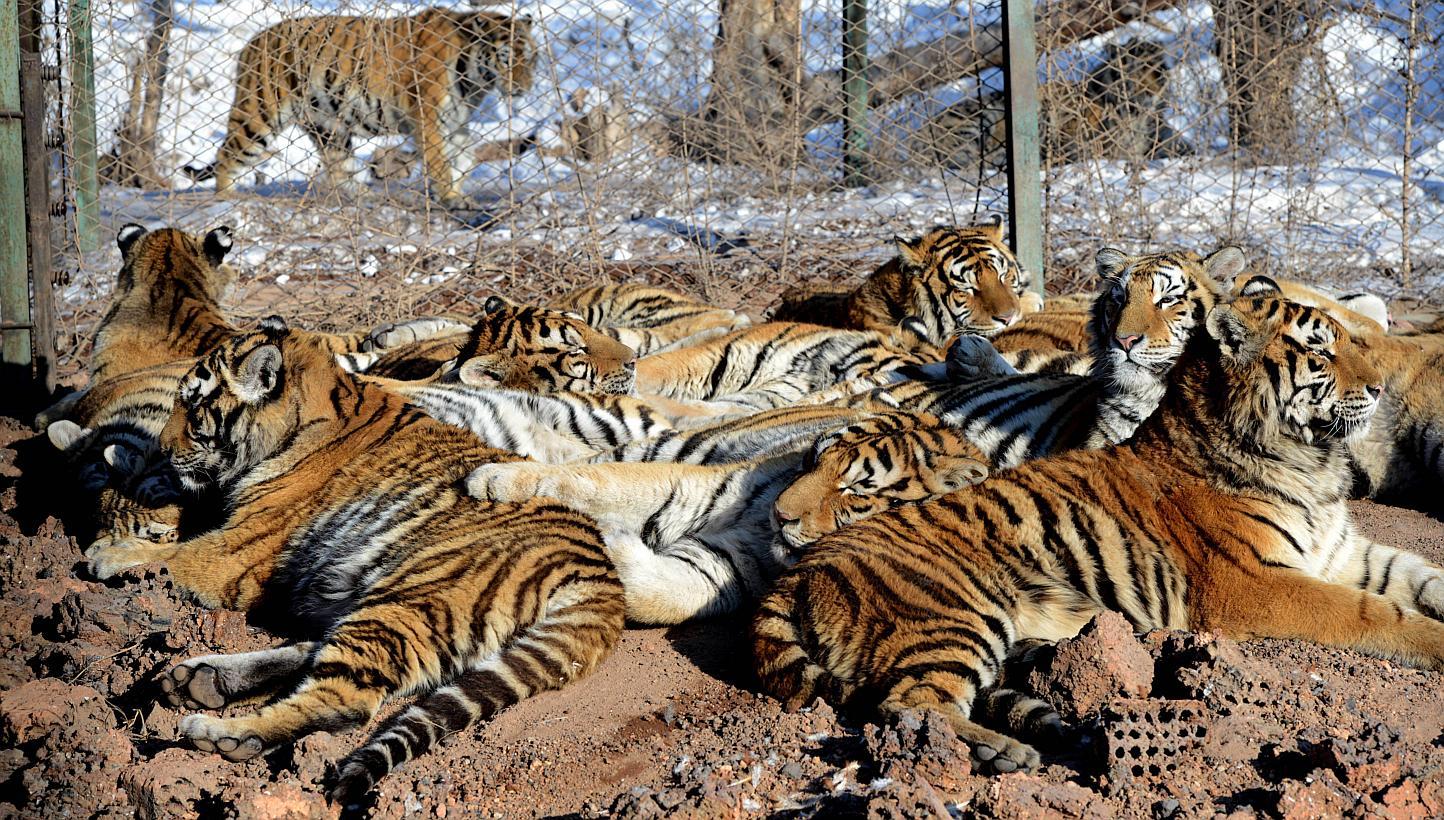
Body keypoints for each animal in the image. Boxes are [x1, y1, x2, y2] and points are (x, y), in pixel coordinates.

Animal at [82, 318, 626, 801]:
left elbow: (171, 555)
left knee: (346, 701)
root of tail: (601, 574)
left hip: (411, 597)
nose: (164, 449)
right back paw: (200, 678)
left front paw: (104, 556)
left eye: (194, 408)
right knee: (318, 654)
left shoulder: (230, 554)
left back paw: (217, 730)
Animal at [182, 9, 533, 207]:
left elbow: (465, 155)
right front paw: (449, 197)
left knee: (338, 169)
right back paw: (227, 200)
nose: (524, 88)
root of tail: (251, 44)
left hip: (327, 125)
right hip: (260, 117)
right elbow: (439, 161)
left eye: (530, 58)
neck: (475, 77)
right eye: (506, 60)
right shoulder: (427, 117)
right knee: (226, 155)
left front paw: (459, 194)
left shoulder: (456, 119)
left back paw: (364, 197)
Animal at [468, 409, 989, 624]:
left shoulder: (726, 567)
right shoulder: (692, 486)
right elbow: (597, 483)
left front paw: (614, 544)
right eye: (814, 459)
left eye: (856, 489)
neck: (766, 541)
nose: (781, 514)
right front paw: (495, 480)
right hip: (672, 444)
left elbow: (667, 595)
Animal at [754, 293, 1444, 775]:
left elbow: (1420, 576)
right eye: (1322, 353)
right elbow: (1375, 614)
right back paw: (1000, 754)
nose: (1377, 389)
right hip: (953, 616)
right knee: (909, 708)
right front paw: (1432, 641)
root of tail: (795, 571)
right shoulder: (1256, 585)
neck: (1308, 462)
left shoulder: (1342, 551)